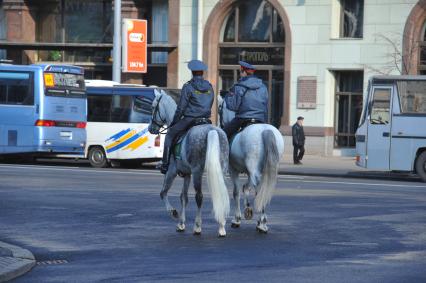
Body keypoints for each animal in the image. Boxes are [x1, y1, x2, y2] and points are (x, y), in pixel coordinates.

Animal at [149, 91, 231, 237]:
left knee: (199, 196)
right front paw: (181, 224)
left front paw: (174, 213)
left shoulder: (172, 171)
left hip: (197, 171)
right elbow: (184, 197)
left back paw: (198, 227)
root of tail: (212, 131)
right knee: (222, 194)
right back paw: (221, 226)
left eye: (153, 107)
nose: (150, 128)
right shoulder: (187, 174)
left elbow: (163, 193)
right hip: (221, 169)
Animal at [218, 95, 284, 233]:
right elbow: (246, 188)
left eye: (219, 108)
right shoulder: (249, 171)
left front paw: (237, 219)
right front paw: (247, 209)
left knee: (258, 188)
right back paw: (262, 221)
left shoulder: (233, 170)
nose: (220, 124)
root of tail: (265, 130)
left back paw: (261, 223)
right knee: (261, 188)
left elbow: (236, 192)